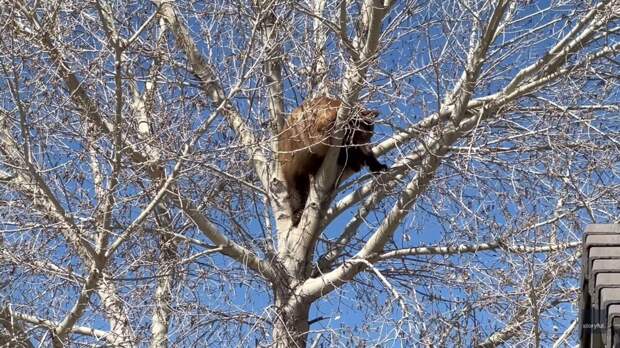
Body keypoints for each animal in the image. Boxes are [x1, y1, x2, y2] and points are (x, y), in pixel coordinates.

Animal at [278, 96, 386, 224]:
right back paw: (297, 213)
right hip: (292, 158)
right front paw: (355, 158)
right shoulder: (318, 126)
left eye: (370, 134)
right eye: (365, 134)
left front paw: (377, 165)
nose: (369, 143)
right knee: (296, 189)